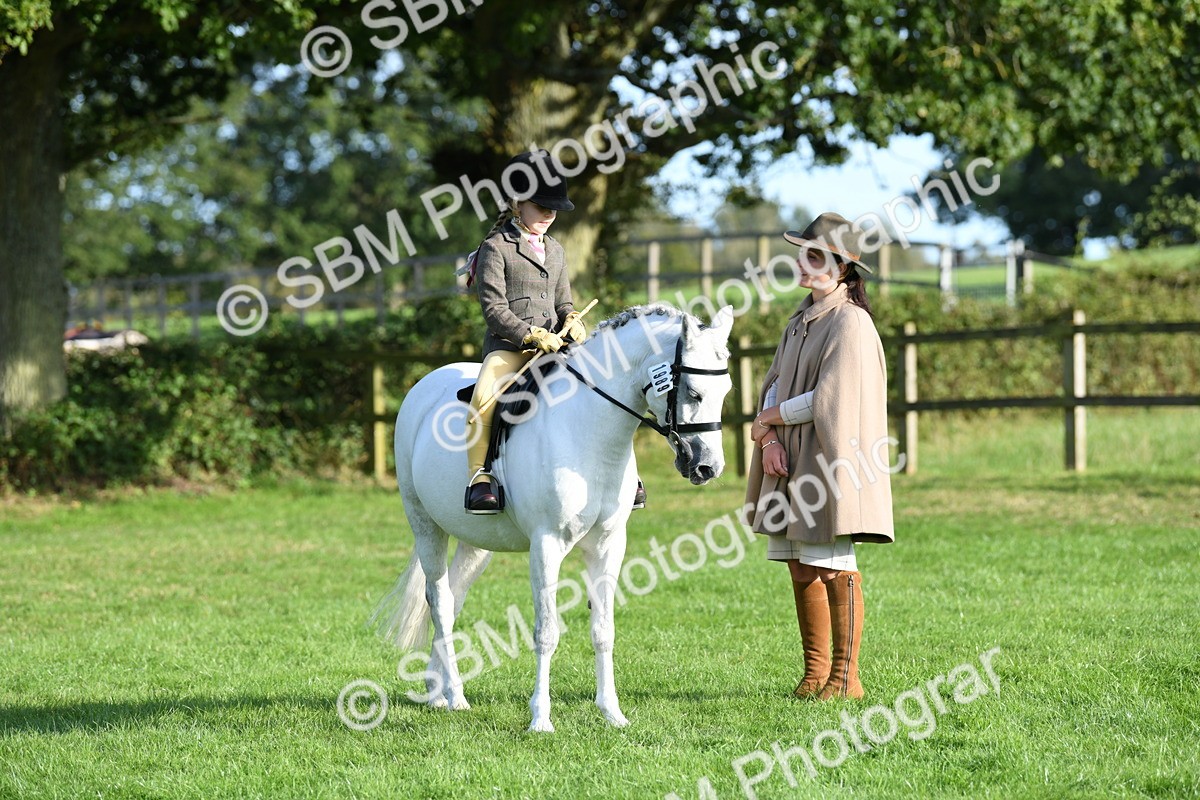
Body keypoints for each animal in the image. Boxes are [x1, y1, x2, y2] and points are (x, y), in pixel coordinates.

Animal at [372, 303, 735, 732]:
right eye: (694, 392)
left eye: (726, 392)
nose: (708, 467)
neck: (590, 429)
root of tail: (425, 384)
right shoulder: (546, 545)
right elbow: (546, 632)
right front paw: (541, 719)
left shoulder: (609, 545)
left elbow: (603, 630)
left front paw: (612, 713)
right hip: (425, 525)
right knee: (440, 602)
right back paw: (456, 697)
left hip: (475, 543)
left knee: (453, 597)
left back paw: (436, 692)